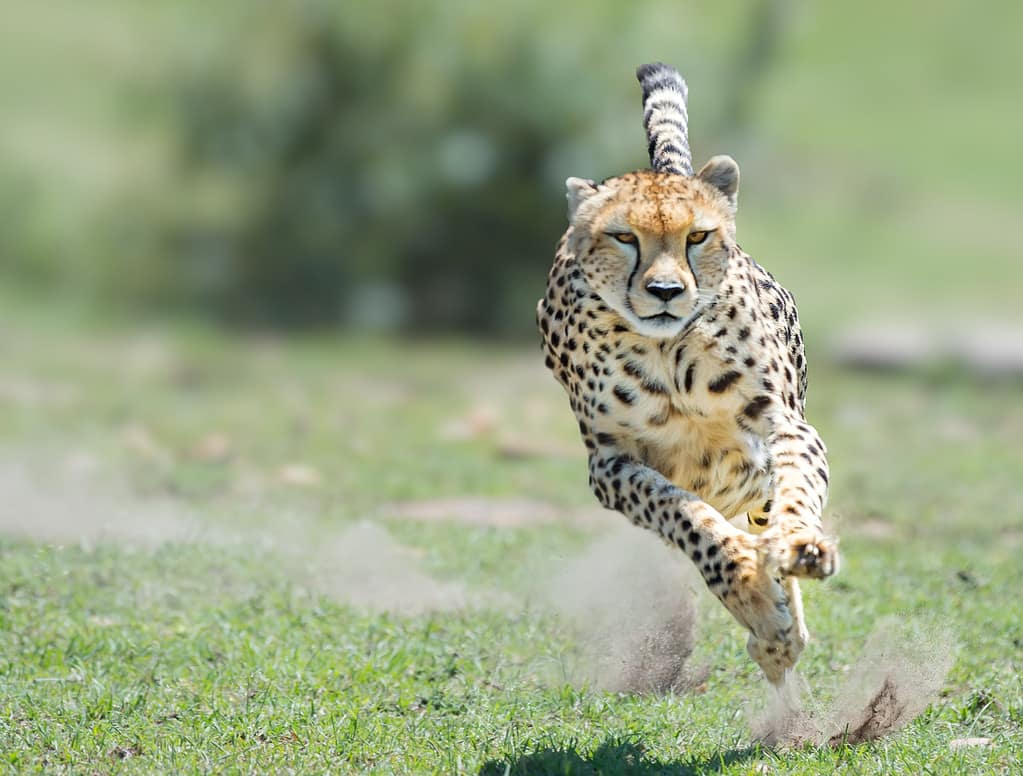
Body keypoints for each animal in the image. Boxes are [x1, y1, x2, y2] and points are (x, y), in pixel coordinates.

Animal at [540, 66, 834, 687]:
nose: (666, 291)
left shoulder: (782, 425)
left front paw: (799, 548)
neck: (669, 353)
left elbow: (797, 489)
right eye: (624, 237)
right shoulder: (610, 464)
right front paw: (748, 587)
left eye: (696, 236)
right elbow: (684, 515)